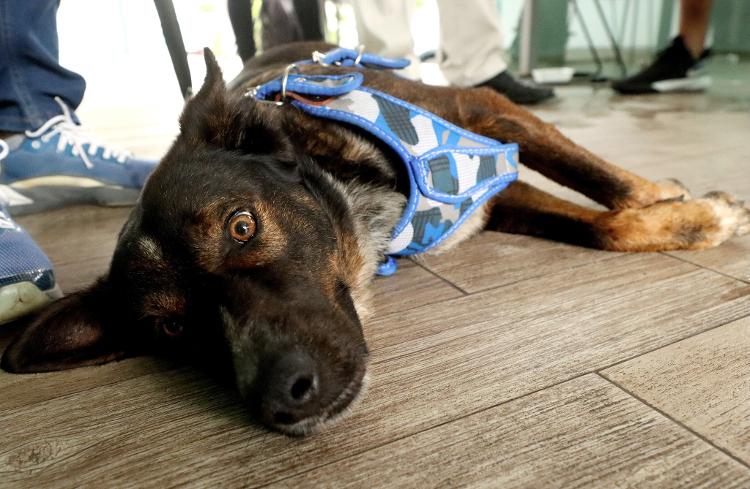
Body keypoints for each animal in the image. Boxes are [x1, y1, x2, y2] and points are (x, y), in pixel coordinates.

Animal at [1, 43, 750, 434]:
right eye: (170, 329)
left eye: (242, 225)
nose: (282, 396)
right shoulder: (493, 193)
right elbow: (601, 225)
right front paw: (685, 213)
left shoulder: (489, 118)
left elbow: (604, 187)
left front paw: (683, 205)